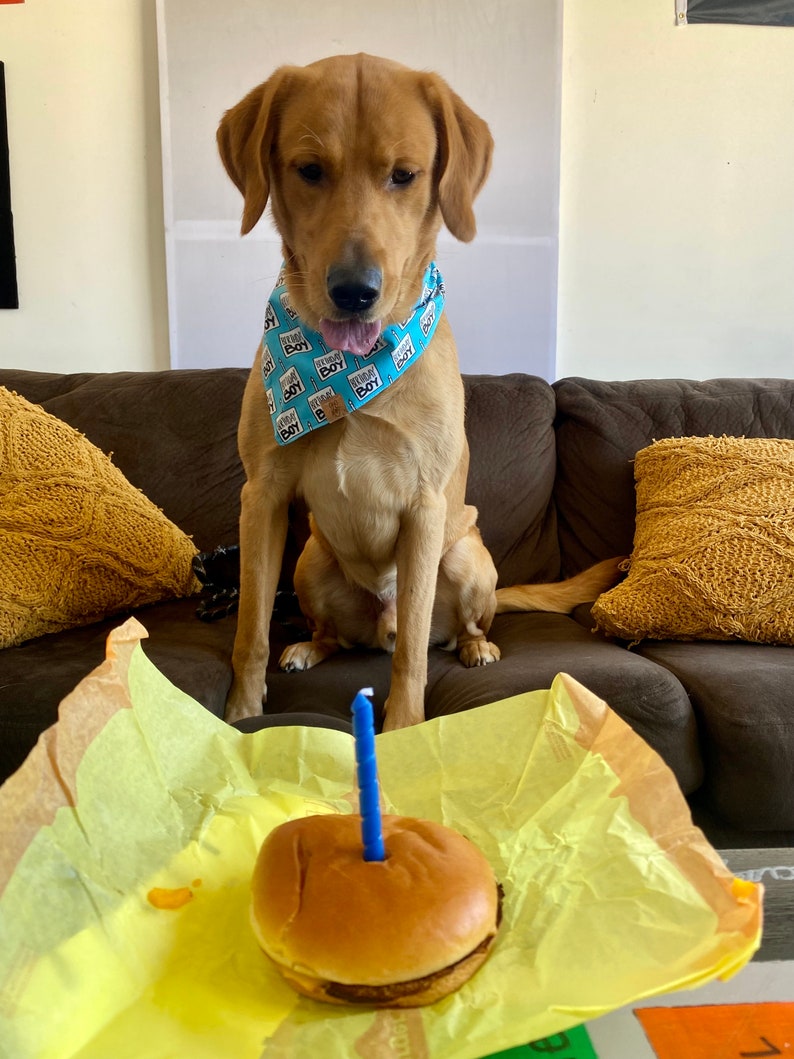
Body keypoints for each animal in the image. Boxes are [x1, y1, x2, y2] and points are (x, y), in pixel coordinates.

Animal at [219, 53, 622, 732]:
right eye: (309, 170)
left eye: (403, 175)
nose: (355, 290)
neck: (344, 376)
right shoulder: (263, 497)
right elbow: (250, 628)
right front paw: (241, 715)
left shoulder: (424, 509)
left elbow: (412, 646)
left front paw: (404, 727)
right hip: (309, 562)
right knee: (333, 633)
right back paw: (307, 647)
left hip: (463, 558)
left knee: (445, 627)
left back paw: (477, 648)